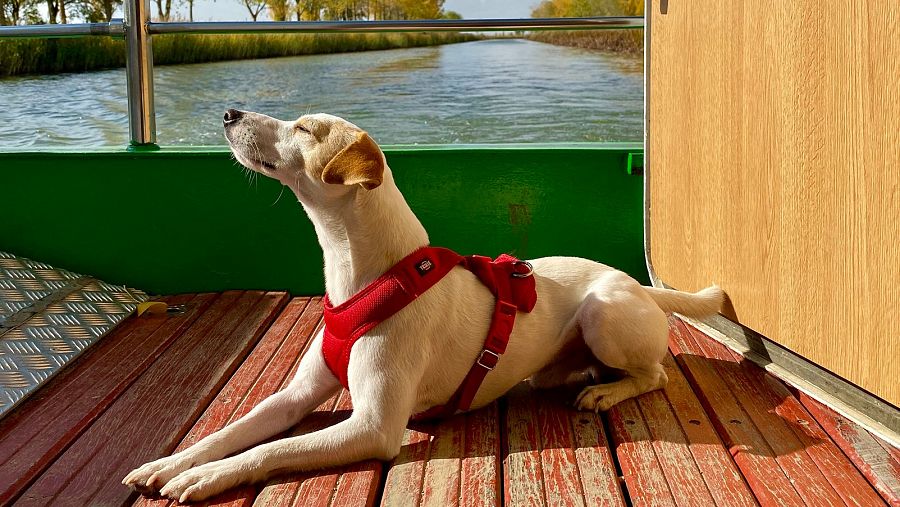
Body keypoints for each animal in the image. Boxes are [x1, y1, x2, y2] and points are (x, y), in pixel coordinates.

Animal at [123, 109, 724, 502]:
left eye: (304, 129)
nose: (229, 111)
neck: (363, 279)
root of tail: (638, 285)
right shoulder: (295, 396)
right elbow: (231, 433)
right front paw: (172, 463)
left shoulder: (373, 427)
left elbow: (268, 452)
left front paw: (204, 478)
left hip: (604, 316)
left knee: (655, 375)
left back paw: (606, 391)